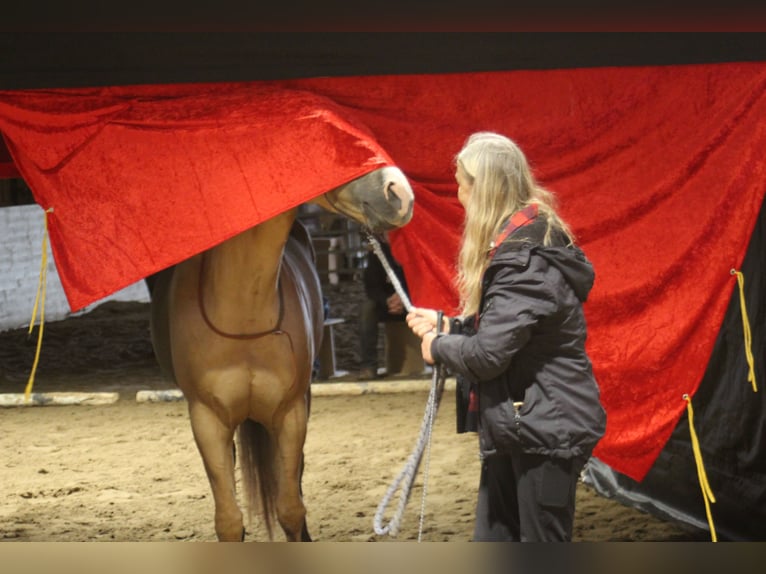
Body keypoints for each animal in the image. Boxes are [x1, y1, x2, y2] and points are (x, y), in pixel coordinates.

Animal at [148, 166, 414, 541]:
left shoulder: (290, 413)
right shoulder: (207, 419)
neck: (244, 309)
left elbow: (290, 508)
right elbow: (229, 520)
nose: (400, 194)